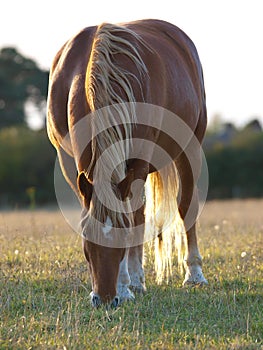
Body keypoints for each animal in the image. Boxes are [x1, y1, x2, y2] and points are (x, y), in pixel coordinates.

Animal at [47, 19, 208, 306]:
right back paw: (137, 280)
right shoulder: (70, 165)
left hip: (189, 149)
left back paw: (194, 274)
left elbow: (130, 219)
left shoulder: (140, 161)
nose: (104, 299)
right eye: (86, 240)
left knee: (185, 205)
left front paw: (123, 287)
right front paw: (129, 283)